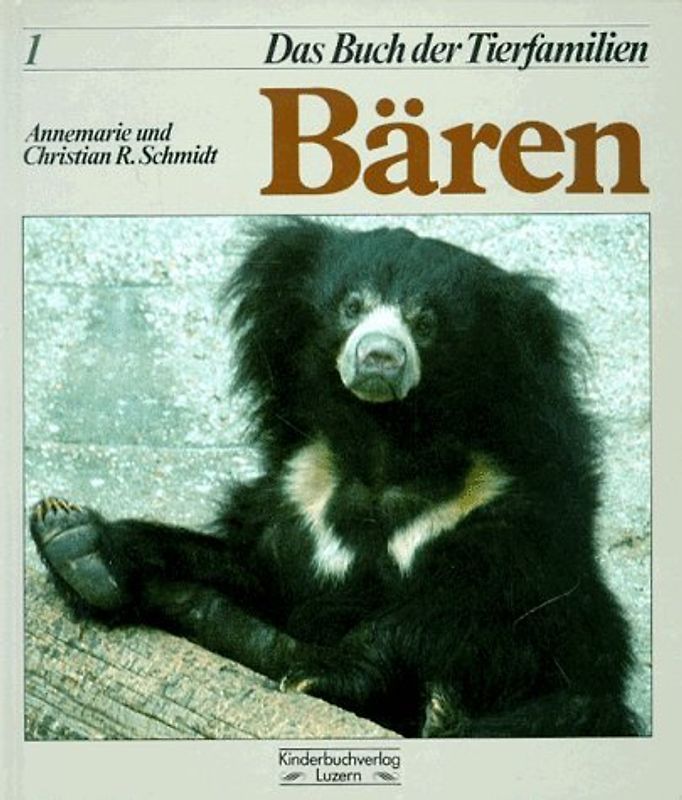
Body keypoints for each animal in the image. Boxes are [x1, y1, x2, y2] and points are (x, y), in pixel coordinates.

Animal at [30, 217, 640, 737]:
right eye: (353, 305)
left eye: (424, 322)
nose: (379, 357)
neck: (383, 448)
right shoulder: (298, 495)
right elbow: (252, 566)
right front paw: (78, 542)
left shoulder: (505, 511)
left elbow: (473, 612)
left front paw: (326, 672)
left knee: (574, 708)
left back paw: (441, 713)